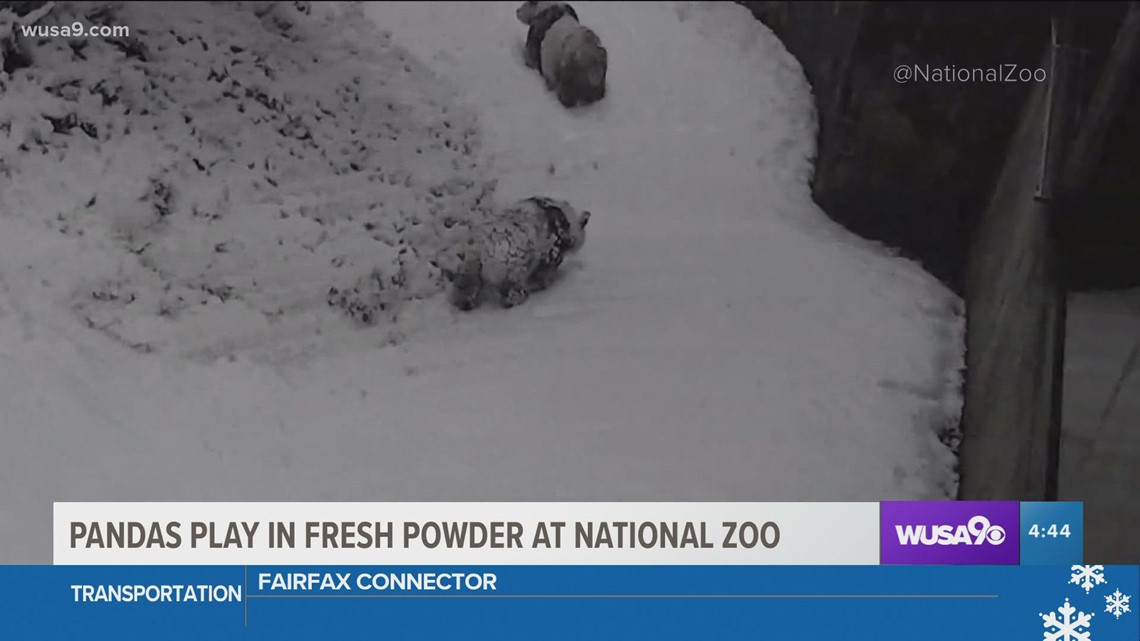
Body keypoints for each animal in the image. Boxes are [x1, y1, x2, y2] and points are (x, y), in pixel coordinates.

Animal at [444, 197, 592, 312]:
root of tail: (481, 248)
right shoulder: (550, 254)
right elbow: (544, 272)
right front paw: (543, 284)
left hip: (467, 268)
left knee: (465, 287)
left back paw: (464, 303)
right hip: (512, 270)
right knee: (512, 291)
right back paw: (517, 300)